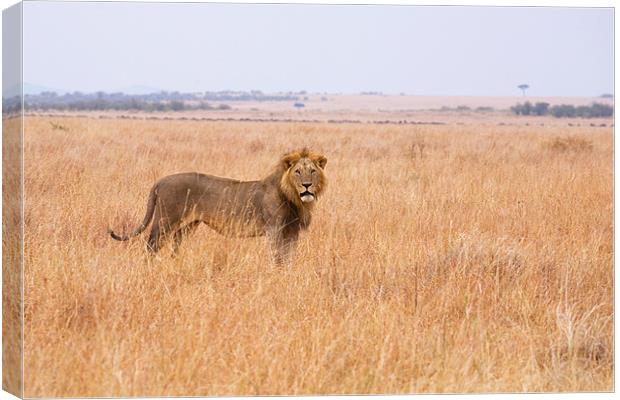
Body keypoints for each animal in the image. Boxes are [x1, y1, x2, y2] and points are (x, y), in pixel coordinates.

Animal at [108, 148, 326, 266]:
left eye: (312, 171)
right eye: (297, 172)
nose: (307, 185)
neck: (295, 199)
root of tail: (160, 181)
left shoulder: (292, 231)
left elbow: (289, 258)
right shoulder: (274, 229)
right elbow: (277, 256)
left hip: (188, 225)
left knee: (175, 245)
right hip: (165, 221)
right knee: (151, 245)